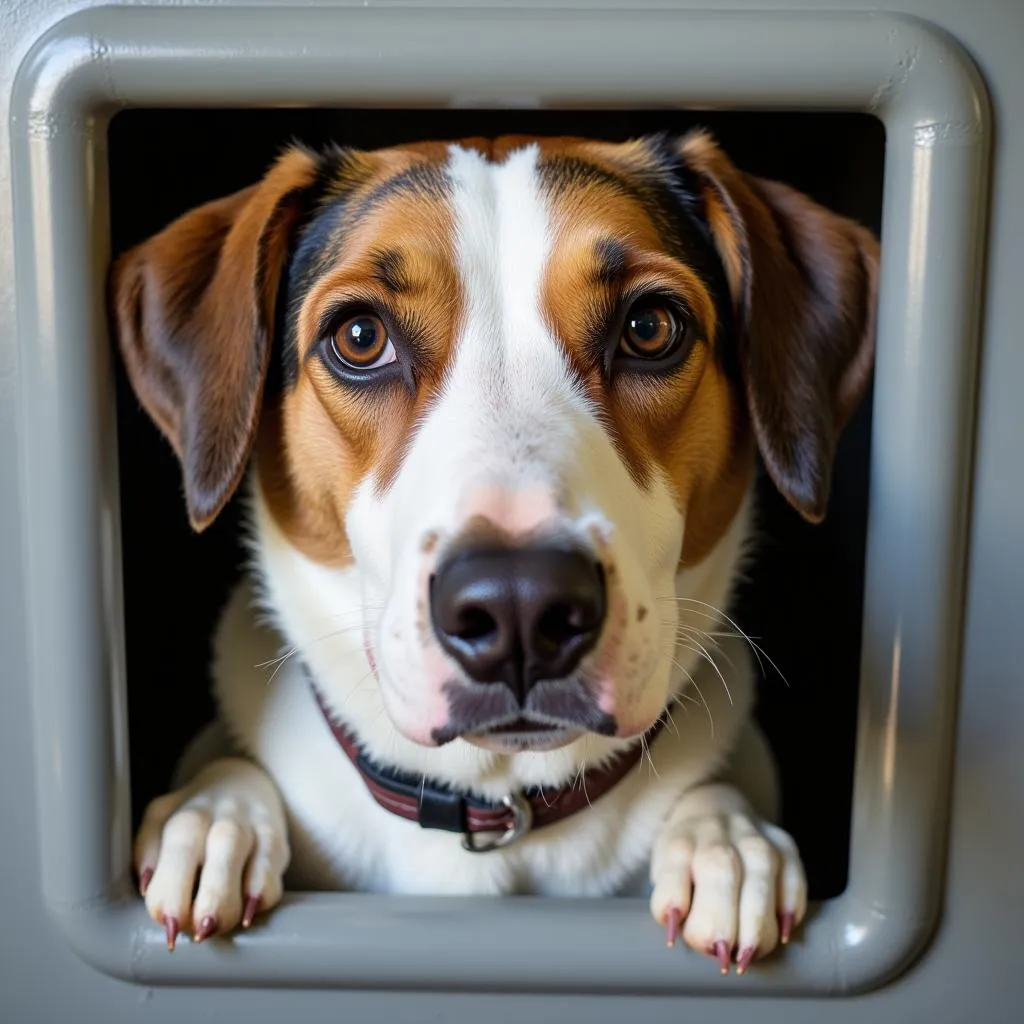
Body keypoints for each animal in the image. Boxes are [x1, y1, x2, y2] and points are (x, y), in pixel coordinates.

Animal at [112, 130, 880, 974]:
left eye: (650, 326)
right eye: (359, 338)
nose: (520, 608)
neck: (497, 799)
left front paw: (724, 841)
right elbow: (228, 773)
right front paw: (213, 819)